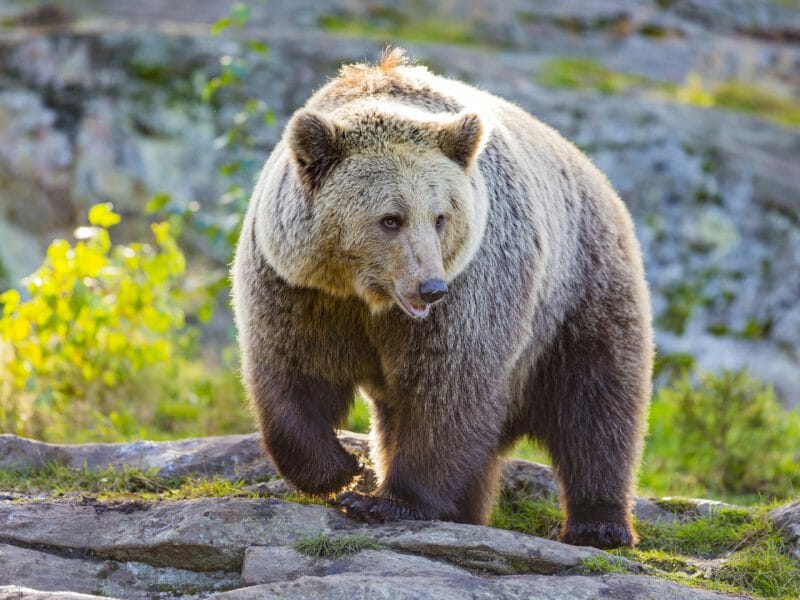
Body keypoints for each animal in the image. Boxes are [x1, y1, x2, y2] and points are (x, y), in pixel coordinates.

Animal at [231, 48, 653, 549]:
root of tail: (598, 177)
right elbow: (292, 369)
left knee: (595, 401)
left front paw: (385, 500)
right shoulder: (298, 288)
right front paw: (340, 469)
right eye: (390, 219)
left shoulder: (472, 288)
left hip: (579, 289)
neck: (366, 295)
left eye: (440, 217)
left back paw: (600, 524)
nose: (430, 287)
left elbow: (449, 386)